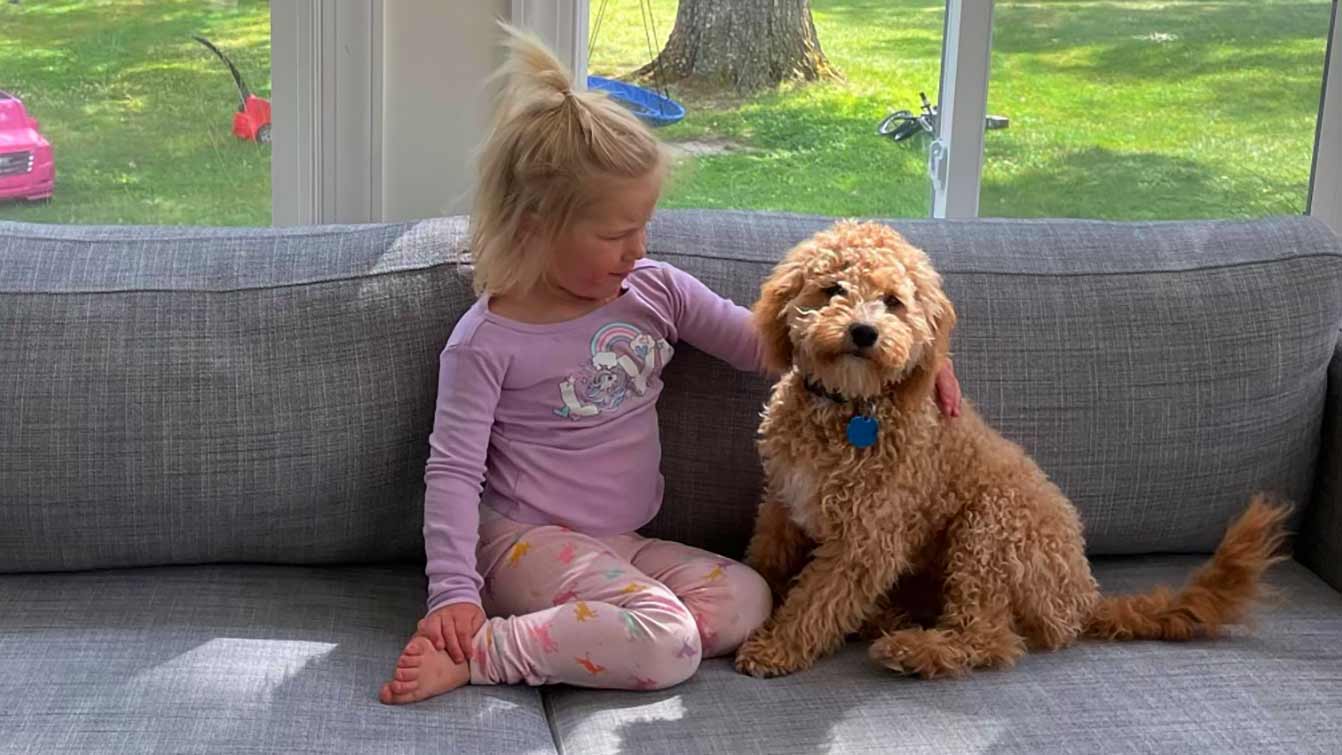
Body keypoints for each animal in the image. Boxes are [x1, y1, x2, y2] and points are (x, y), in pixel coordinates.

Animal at [735, 218, 1288, 678]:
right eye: (833, 288)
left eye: (893, 301)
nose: (864, 332)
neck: (849, 409)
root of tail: (1084, 597)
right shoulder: (784, 502)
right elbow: (767, 559)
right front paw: (762, 592)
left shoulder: (866, 541)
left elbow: (816, 602)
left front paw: (775, 648)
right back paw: (887, 619)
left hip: (989, 531)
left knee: (991, 638)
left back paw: (915, 650)